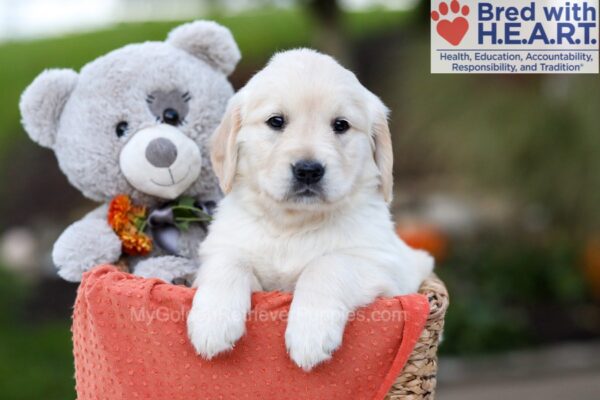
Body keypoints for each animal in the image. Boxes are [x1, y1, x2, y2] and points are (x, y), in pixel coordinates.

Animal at [186, 48, 432, 370]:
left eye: (340, 125)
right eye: (276, 121)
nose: (308, 170)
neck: (293, 224)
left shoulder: (385, 268)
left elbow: (328, 264)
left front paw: (311, 333)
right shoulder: (224, 247)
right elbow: (228, 262)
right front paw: (212, 321)